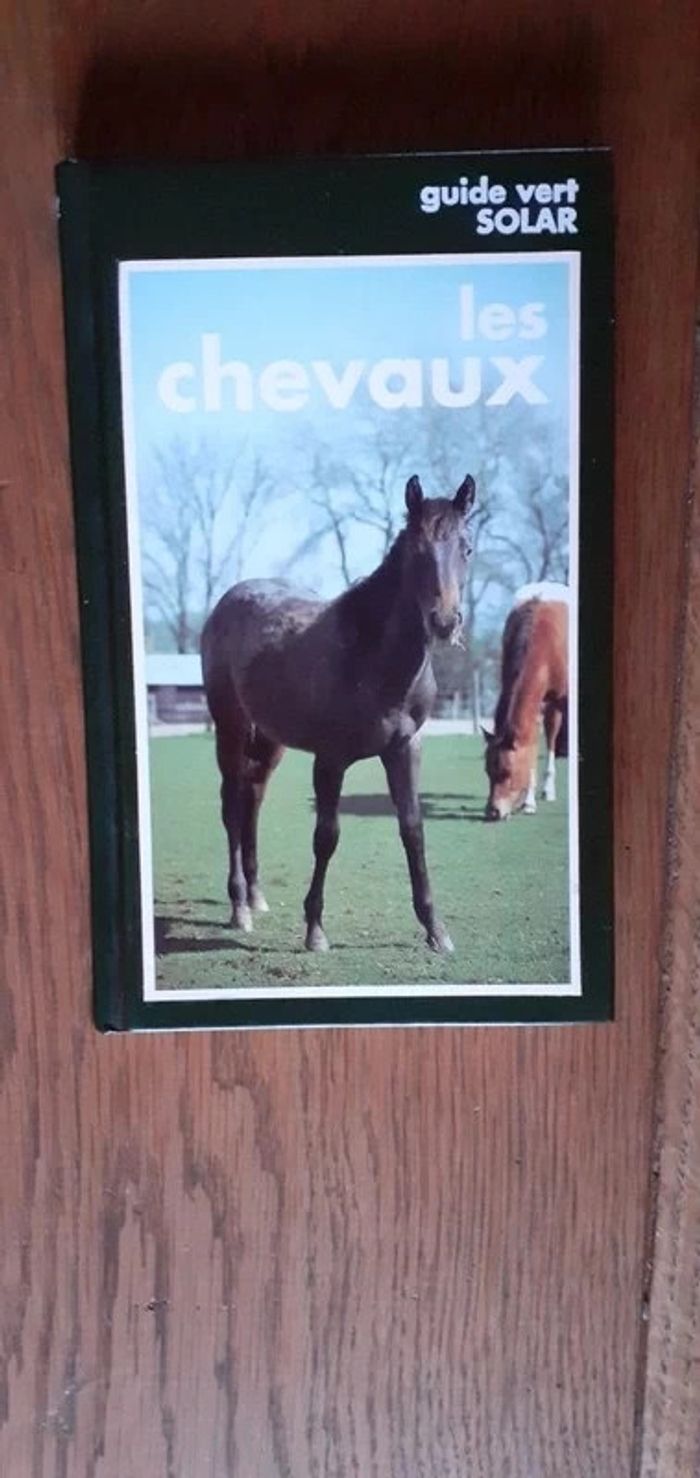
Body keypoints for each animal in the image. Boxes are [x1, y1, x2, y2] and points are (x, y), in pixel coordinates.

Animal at [201, 472, 476, 956]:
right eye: (417, 550)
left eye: (467, 547)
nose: (445, 621)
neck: (371, 655)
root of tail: (226, 603)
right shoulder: (330, 760)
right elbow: (326, 837)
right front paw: (315, 930)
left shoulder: (405, 749)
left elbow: (413, 830)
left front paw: (435, 929)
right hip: (230, 727)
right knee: (233, 805)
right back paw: (239, 907)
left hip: (269, 739)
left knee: (253, 799)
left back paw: (256, 895)